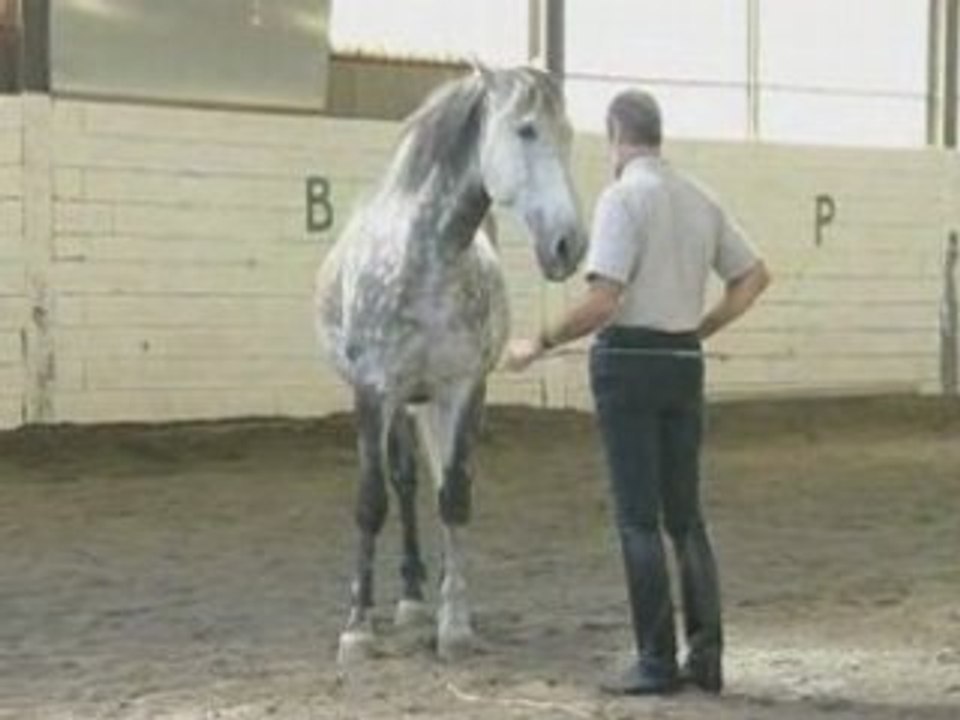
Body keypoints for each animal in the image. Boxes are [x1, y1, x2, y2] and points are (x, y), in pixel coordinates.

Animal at [315, 64, 587, 663]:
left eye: (569, 135)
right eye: (526, 129)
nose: (569, 245)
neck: (425, 259)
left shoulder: (463, 390)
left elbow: (455, 496)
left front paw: (455, 624)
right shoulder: (374, 391)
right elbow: (371, 501)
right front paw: (356, 629)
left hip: (428, 403)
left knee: (433, 482)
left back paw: (428, 598)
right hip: (400, 405)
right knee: (403, 482)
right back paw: (409, 600)